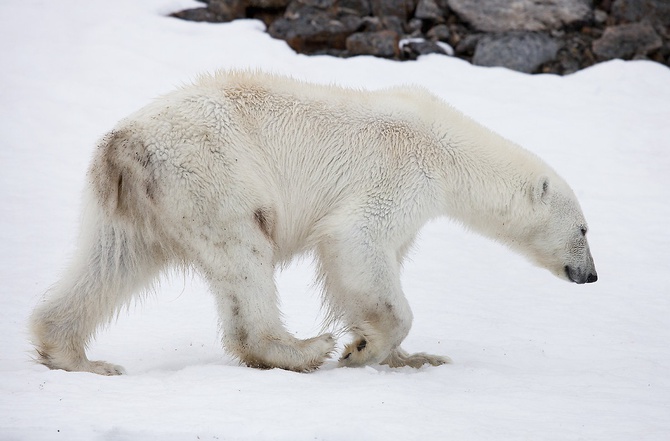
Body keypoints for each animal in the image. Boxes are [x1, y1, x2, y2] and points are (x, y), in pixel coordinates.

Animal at [30, 70, 600, 372]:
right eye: (585, 229)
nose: (592, 275)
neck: (447, 148)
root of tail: (123, 144)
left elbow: (369, 266)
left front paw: (414, 358)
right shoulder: (396, 174)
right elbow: (358, 241)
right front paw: (359, 349)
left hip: (134, 204)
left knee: (109, 264)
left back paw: (77, 356)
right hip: (213, 178)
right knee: (245, 256)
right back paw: (301, 348)